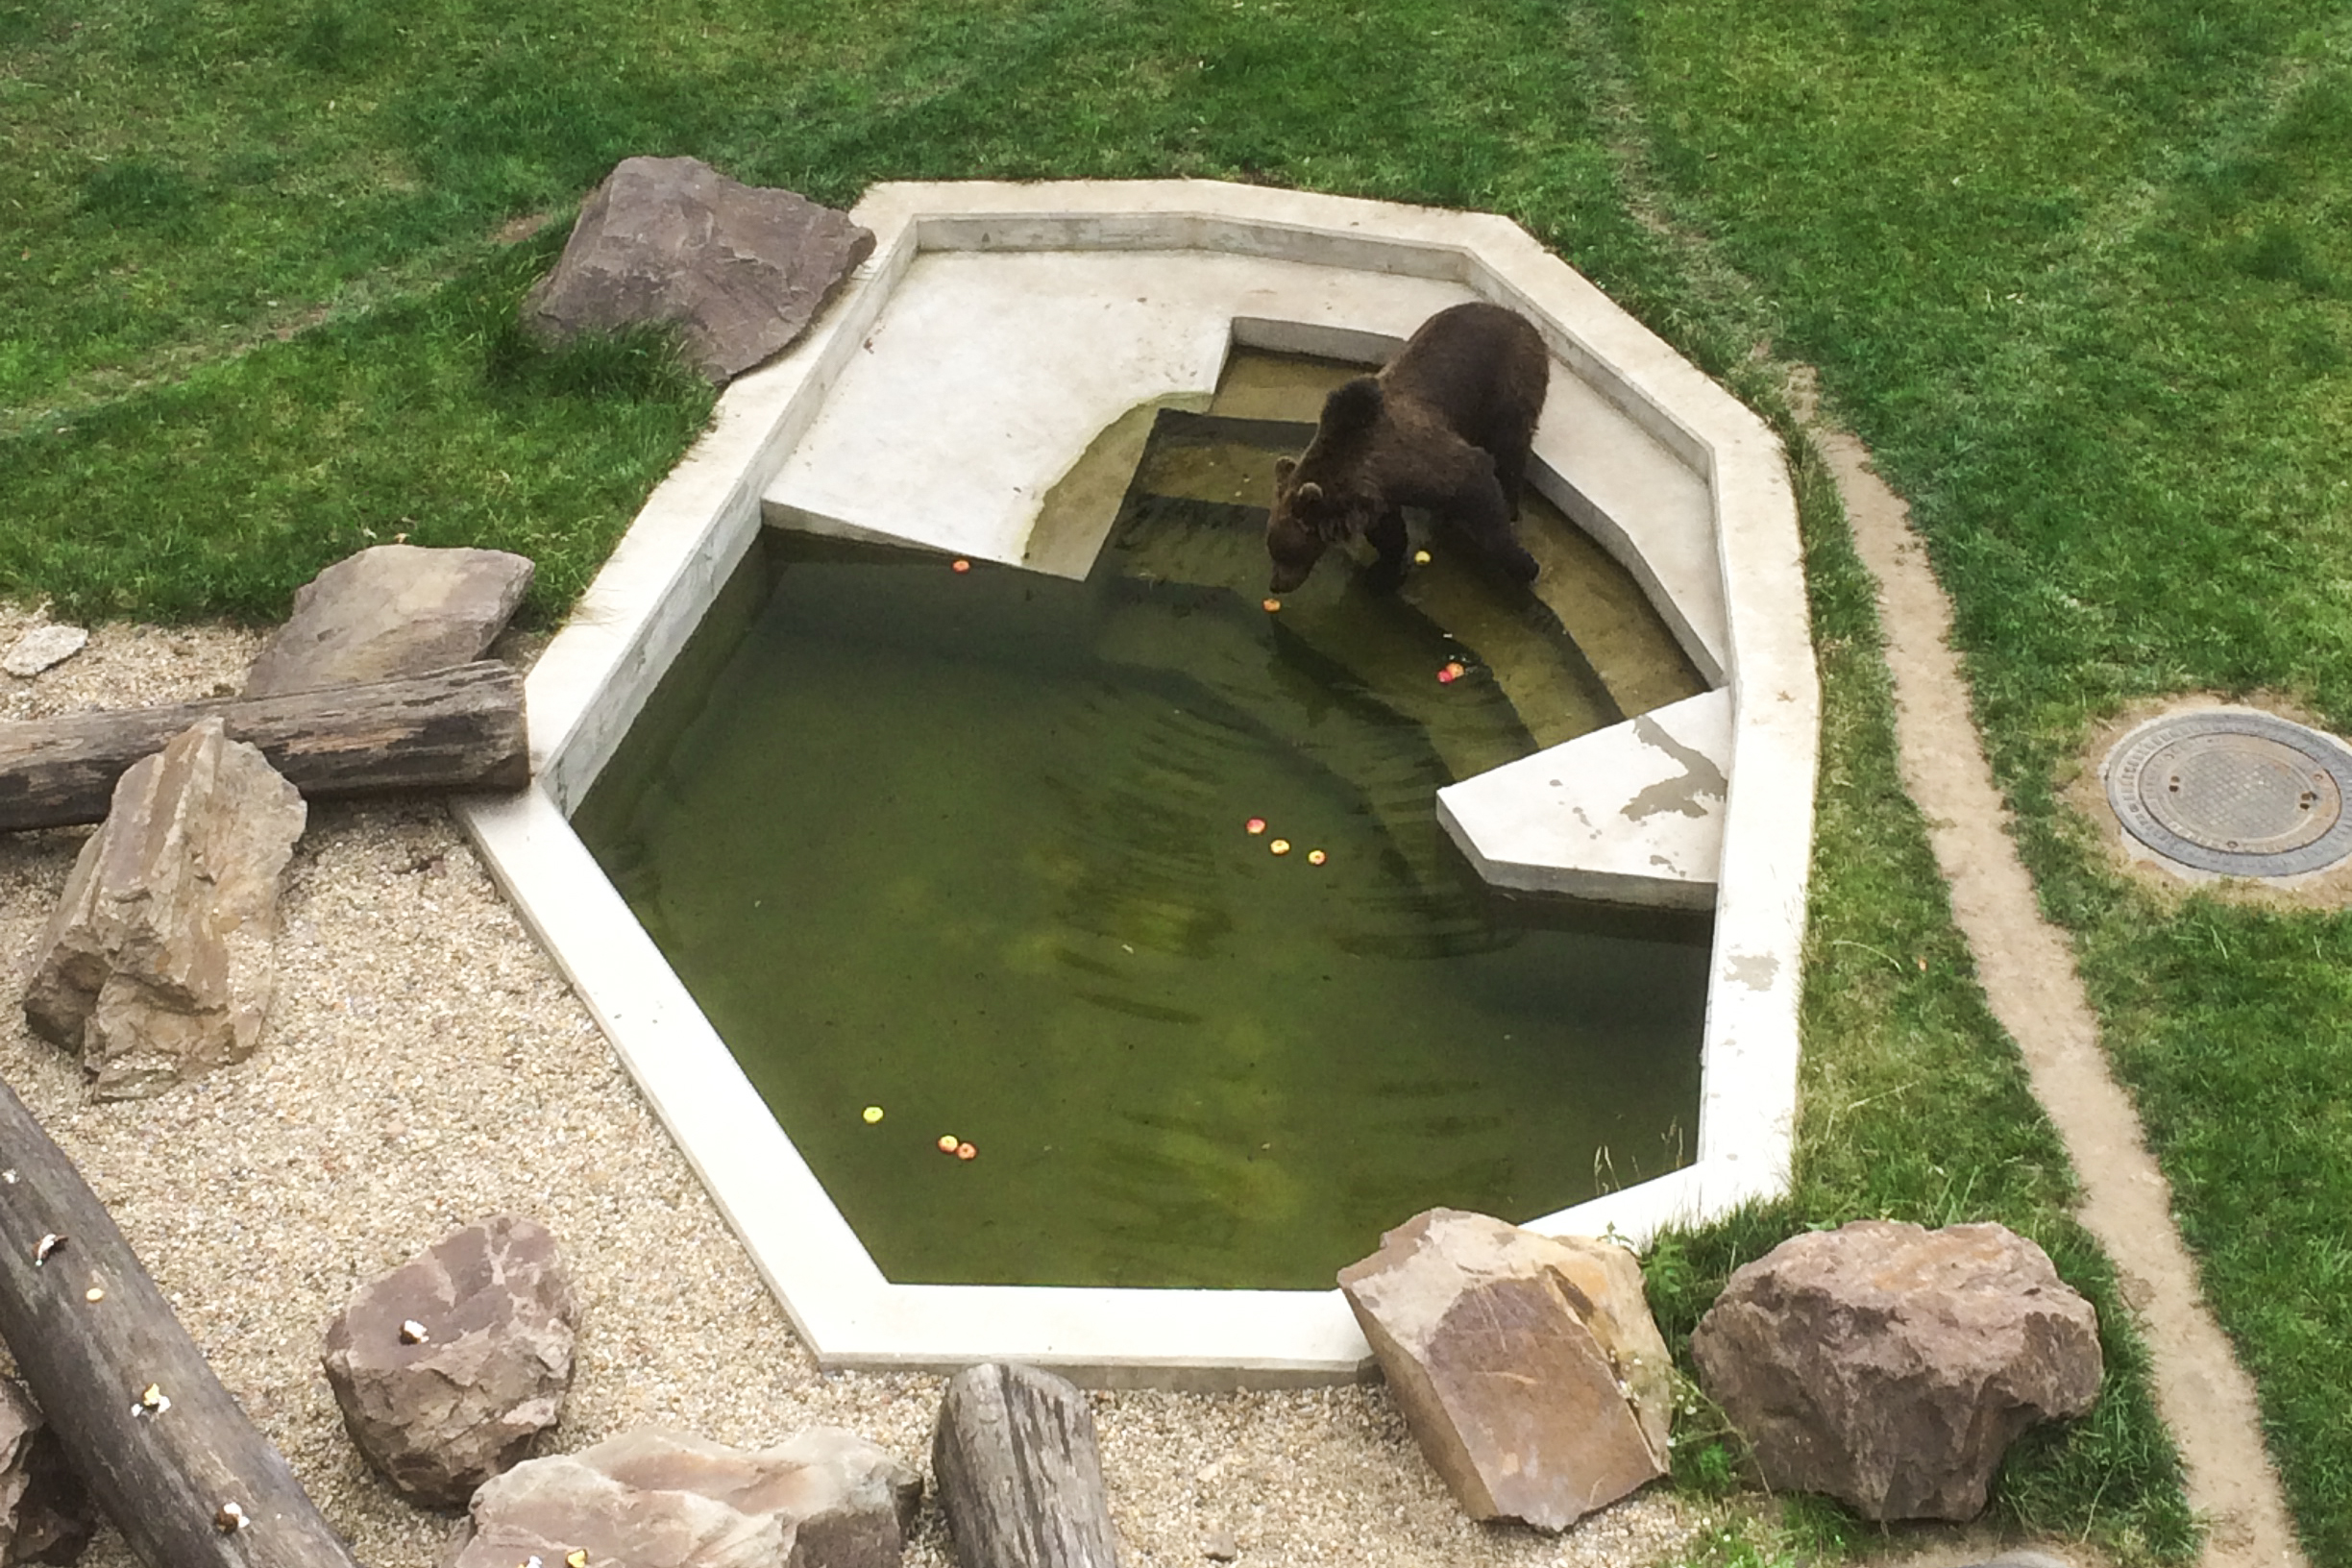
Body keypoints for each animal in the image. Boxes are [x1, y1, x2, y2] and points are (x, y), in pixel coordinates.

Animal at [1261, 303, 1552, 595]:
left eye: (1286, 552)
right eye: (1273, 548)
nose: (1276, 585)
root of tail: (1517, 315)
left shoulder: (1419, 461)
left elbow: (1476, 484)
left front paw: (1525, 565)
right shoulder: (1379, 495)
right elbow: (1388, 532)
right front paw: (1384, 570)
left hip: (1511, 381)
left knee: (1510, 445)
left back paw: (1510, 503)